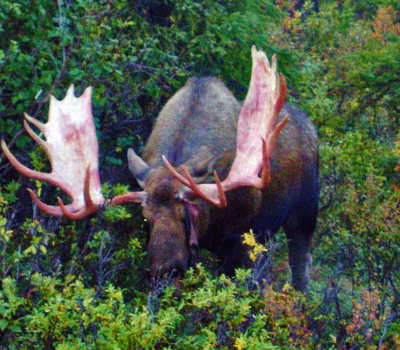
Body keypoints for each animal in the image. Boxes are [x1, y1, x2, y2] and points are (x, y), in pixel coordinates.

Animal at [1, 47, 318, 292]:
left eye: (186, 215)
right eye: (146, 219)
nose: (164, 271)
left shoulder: (239, 244)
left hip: (303, 216)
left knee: (301, 270)